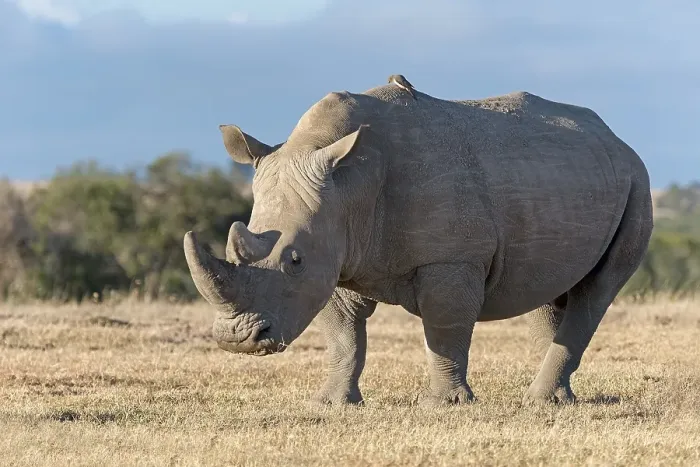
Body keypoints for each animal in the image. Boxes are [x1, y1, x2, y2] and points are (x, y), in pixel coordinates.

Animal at [184, 77, 653, 406]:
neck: (350, 181)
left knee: (597, 290)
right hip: (564, 178)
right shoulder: (335, 252)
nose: (237, 339)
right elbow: (343, 335)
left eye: (293, 260)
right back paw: (555, 401)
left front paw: (445, 405)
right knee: (547, 289)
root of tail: (618, 140)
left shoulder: (451, 259)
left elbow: (444, 329)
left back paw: (540, 399)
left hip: (637, 182)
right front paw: (331, 404)